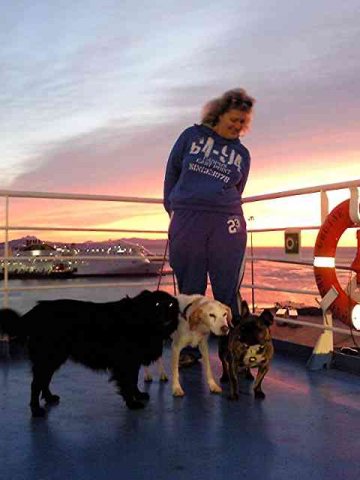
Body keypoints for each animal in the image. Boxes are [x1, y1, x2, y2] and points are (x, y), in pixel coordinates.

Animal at [0, 288, 179, 416]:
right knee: (36, 383)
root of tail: (36, 311)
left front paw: (139, 394)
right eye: (157, 304)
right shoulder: (125, 362)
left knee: (44, 381)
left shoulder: (132, 362)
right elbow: (128, 383)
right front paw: (132, 402)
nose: (166, 316)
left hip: (54, 357)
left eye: (170, 305)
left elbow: (134, 381)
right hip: (49, 356)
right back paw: (36, 410)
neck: (140, 318)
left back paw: (50, 398)